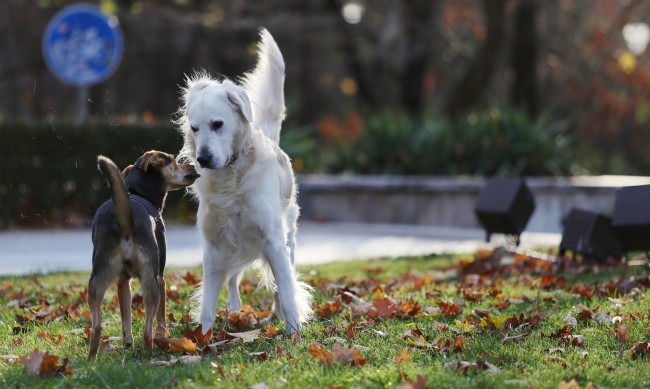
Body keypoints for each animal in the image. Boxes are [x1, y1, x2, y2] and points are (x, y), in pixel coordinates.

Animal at [86, 151, 197, 358]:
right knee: (147, 330)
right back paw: (150, 353)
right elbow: (161, 317)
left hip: (96, 280)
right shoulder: (160, 278)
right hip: (150, 280)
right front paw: (163, 335)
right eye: (174, 160)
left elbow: (126, 318)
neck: (138, 192)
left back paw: (91, 358)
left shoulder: (122, 281)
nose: (193, 166)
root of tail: (125, 222)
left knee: (96, 327)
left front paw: (128, 344)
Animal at [176, 28, 310, 334]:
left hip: (288, 239)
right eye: (194, 128)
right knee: (233, 280)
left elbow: (286, 290)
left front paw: (293, 331)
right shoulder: (215, 246)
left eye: (217, 124)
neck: (231, 177)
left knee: (279, 282)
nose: (203, 158)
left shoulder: (273, 240)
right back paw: (236, 311)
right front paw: (202, 337)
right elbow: (208, 304)